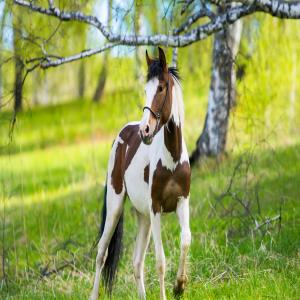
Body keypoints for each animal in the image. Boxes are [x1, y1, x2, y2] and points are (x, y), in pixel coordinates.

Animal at [90, 47, 191, 300]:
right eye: (146, 89)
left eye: (161, 88)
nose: (145, 130)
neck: (172, 160)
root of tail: (123, 133)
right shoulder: (156, 209)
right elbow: (161, 261)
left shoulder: (182, 202)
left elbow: (185, 240)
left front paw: (180, 285)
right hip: (115, 206)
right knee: (102, 252)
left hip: (142, 216)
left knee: (137, 262)